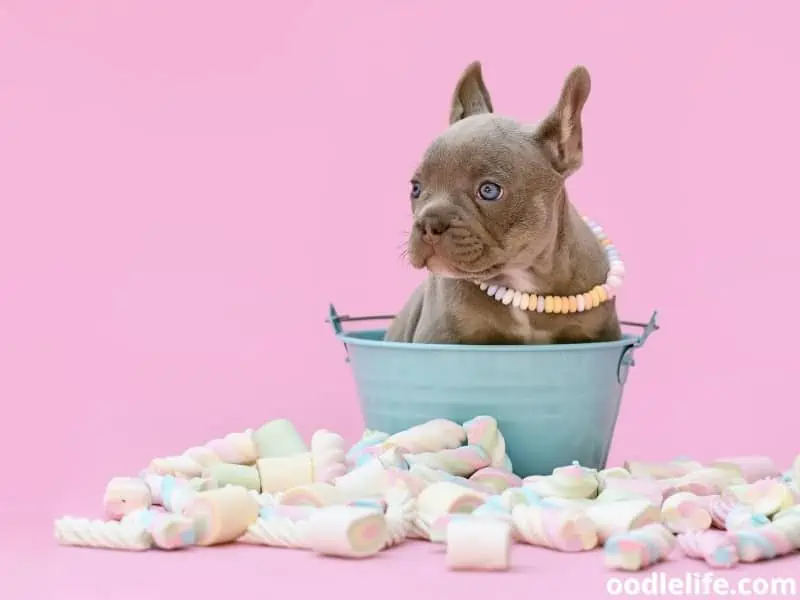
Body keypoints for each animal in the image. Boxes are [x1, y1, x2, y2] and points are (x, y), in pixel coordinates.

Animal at [386, 62, 620, 344]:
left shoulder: (598, 335)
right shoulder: (441, 337)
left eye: (489, 191)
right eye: (416, 188)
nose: (429, 224)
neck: (523, 279)